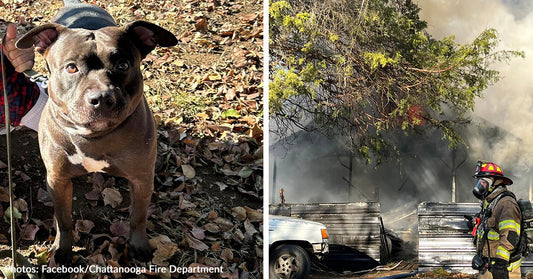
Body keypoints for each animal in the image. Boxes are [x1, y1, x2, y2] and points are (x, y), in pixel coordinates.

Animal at [16, 0, 177, 264]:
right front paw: (62, 249)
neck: (92, 137)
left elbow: (139, 216)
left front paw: (138, 245)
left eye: (123, 65)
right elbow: (64, 220)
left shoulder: (142, 179)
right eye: (71, 68)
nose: (102, 98)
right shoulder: (57, 180)